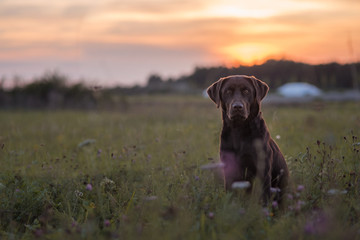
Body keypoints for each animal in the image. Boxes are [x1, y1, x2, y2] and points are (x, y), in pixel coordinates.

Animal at [207, 75, 288, 204]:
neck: (239, 130)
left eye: (246, 91)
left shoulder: (263, 170)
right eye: (227, 91)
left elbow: (265, 196)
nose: (237, 107)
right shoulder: (229, 169)